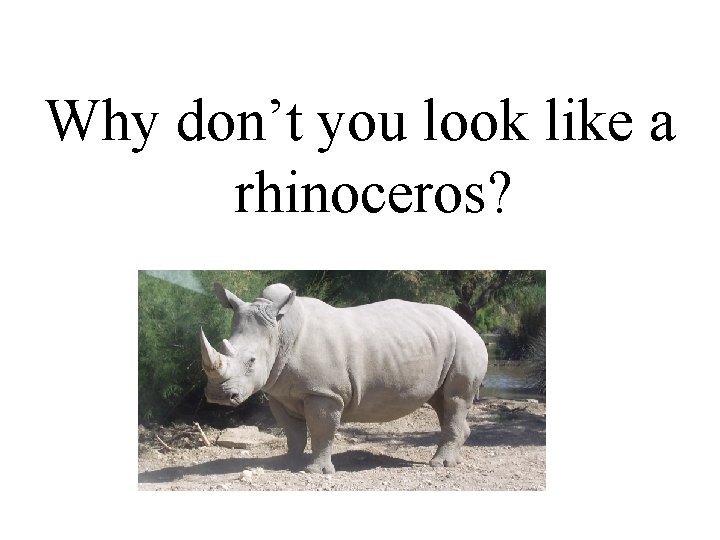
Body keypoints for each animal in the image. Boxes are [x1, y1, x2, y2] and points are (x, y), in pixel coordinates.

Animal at [200, 283, 488, 474]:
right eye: (222, 346)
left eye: (252, 361)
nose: (217, 395)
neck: (281, 332)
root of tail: (469, 325)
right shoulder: (279, 393)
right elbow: (293, 432)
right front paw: (287, 463)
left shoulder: (324, 392)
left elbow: (321, 429)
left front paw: (315, 471)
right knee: (443, 402)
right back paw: (453, 460)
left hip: (465, 343)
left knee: (454, 400)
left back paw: (440, 464)